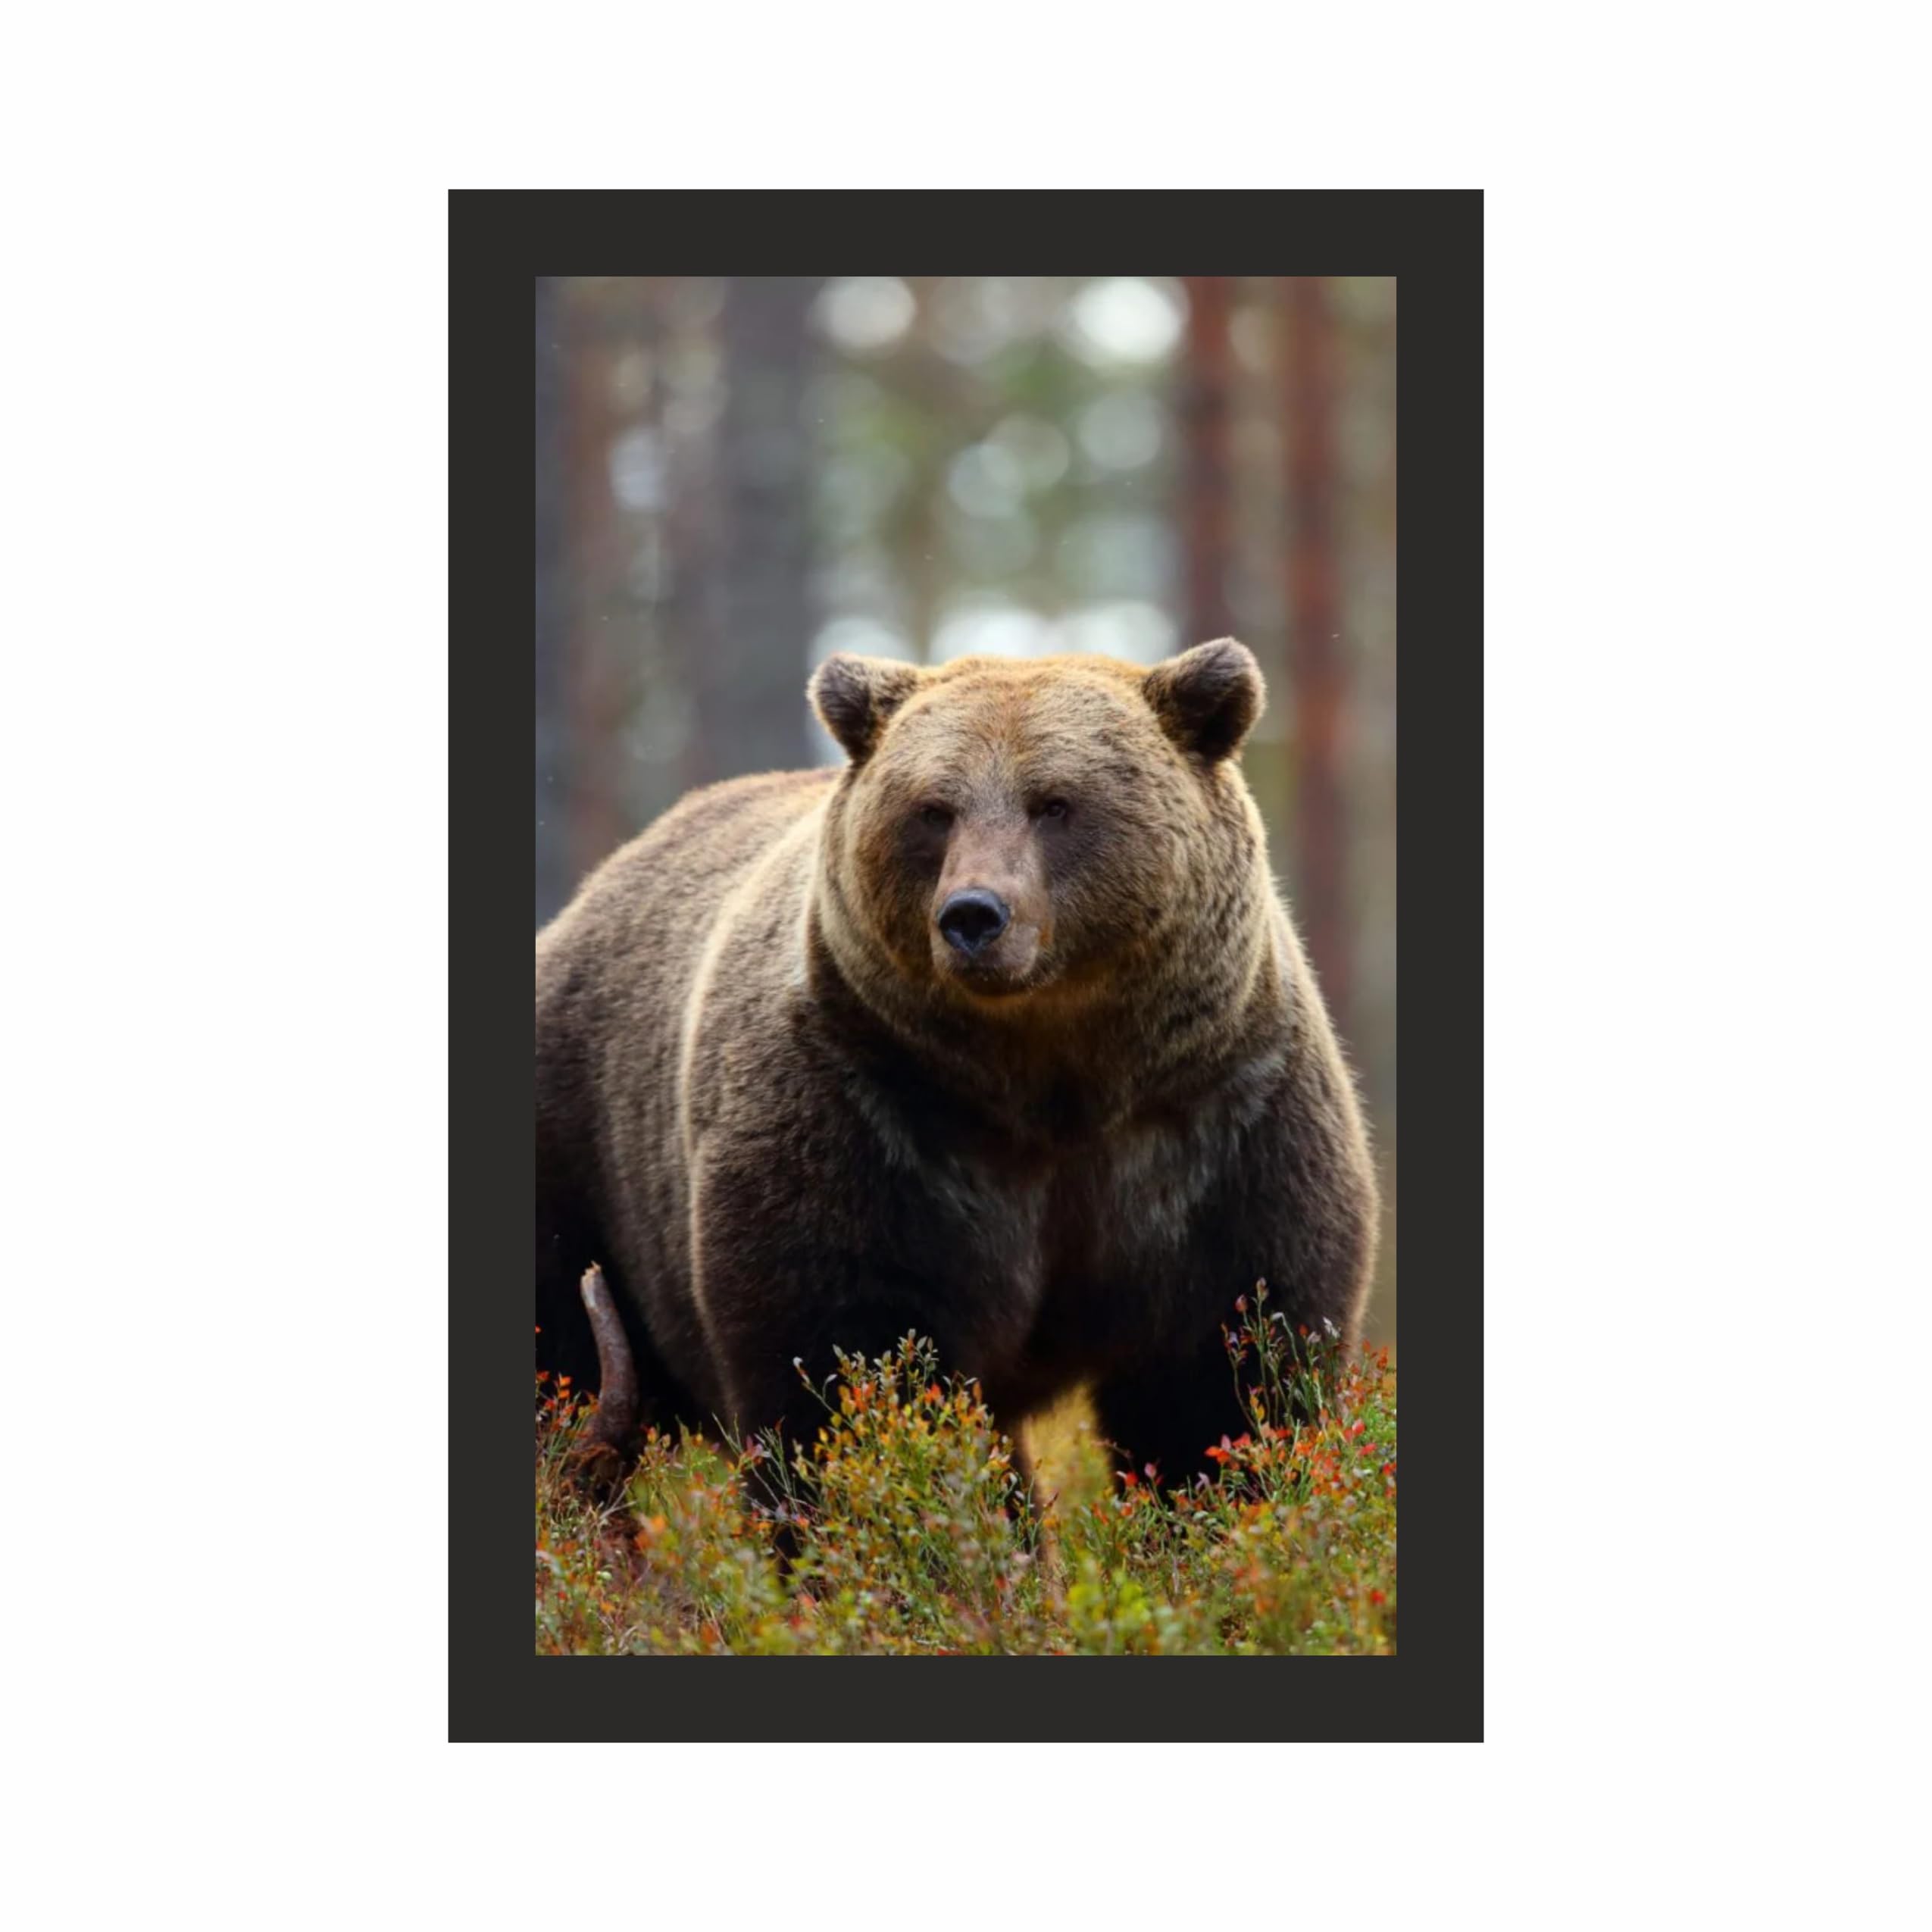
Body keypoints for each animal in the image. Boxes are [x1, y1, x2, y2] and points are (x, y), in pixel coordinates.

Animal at [535, 638, 1379, 1490]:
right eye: (934, 809)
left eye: (1055, 803)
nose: (974, 914)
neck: (1055, 1078)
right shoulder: (870, 1112)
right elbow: (846, 1360)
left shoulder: (1219, 1121)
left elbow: (1225, 1376)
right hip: (583, 1153)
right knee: (566, 1350)